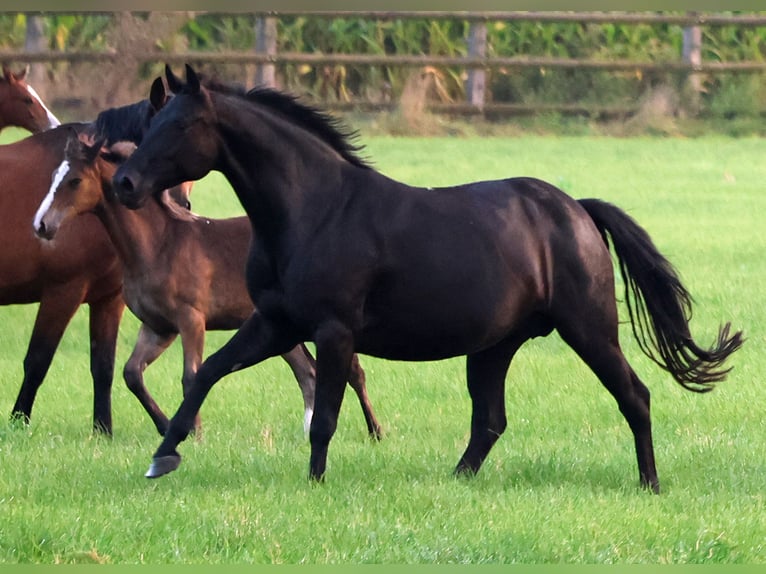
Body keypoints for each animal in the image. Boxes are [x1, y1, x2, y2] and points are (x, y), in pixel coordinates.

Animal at [34, 134, 382, 440]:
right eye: (52, 177)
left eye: (75, 181)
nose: (41, 225)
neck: (158, 245)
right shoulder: (159, 327)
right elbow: (132, 374)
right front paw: (166, 426)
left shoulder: (191, 320)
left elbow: (191, 375)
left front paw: (193, 433)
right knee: (308, 374)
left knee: (353, 371)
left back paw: (375, 431)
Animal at [112, 65, 744, 492]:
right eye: (154, 120)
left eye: (185, 124)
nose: (124, 183)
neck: (315, 209)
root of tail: (577, 210)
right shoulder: (274, 323)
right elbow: (206, 375)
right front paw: (162, 457)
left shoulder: (333, 331)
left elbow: (327, 416)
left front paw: (315, 484)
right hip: (494, 346)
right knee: (490, 421)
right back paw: (456, 480)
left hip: (589, 330)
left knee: (634, 396)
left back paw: (650, 484)